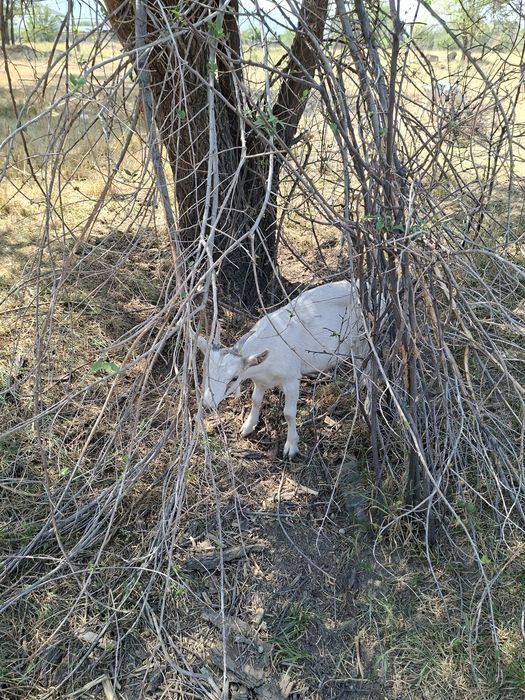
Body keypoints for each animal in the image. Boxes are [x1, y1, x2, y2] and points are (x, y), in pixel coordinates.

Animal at [196, 280, 368, 458]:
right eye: (204, 369)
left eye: (234, 378)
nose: (208, 403)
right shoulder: (260, 380)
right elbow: (255, 400)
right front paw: (247, 427)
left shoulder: (292, 378)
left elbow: (289, 413)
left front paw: (291, 447)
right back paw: (353, 390)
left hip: (363, 339)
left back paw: (367, 405)